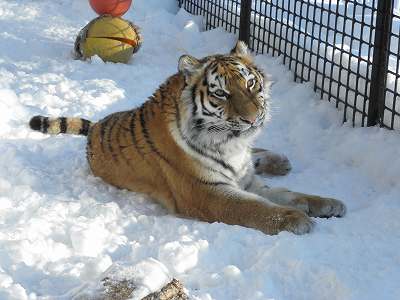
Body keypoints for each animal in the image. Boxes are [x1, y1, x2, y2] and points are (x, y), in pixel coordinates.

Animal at [29, 41, 346, 236]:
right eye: (221, 93)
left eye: (250, 83)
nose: (254, 117)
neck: (229, 145)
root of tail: (96, 125)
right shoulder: (208, 192)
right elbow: (257, 207)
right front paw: (297, 219)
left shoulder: (247, 179)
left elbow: (291, 194)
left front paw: (329, 203)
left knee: (257, 155)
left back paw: (280, 161)